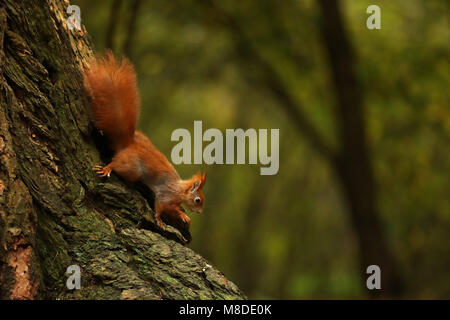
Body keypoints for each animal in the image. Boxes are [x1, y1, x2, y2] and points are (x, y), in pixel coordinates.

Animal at [82, 51, 206, 229]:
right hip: (133, 168)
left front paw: (183, 215)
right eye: (197, 200)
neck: (180, 190)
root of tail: (128, 144)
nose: (200, 212)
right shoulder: (166, 194)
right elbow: (161, 207)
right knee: (116, 164)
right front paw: (161, 219)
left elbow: (173, 209)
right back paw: (107, 168)